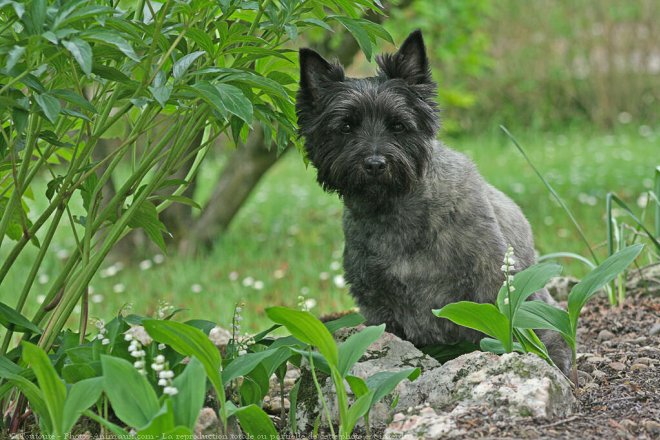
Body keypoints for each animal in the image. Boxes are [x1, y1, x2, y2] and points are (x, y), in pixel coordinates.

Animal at [296, 29, 568, 372]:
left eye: (398, 125)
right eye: (345, 126)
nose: (375, 164)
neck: (397, 214)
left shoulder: (491, 284)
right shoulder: (379, 306)